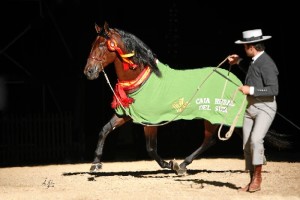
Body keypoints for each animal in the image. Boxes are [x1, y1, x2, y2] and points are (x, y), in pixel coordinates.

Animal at [83, 22, 247, 175]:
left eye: (102, 44)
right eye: (92, 44)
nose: (88, 71)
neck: (141, 81)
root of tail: (235, 80)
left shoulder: (150, 120)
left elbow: (151, 149)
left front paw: (170, 164)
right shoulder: (126, 114)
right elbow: (104, 130)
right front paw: (95, 164)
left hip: (214, 114)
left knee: (212, 139)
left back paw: (183, 165)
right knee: (215, 138)